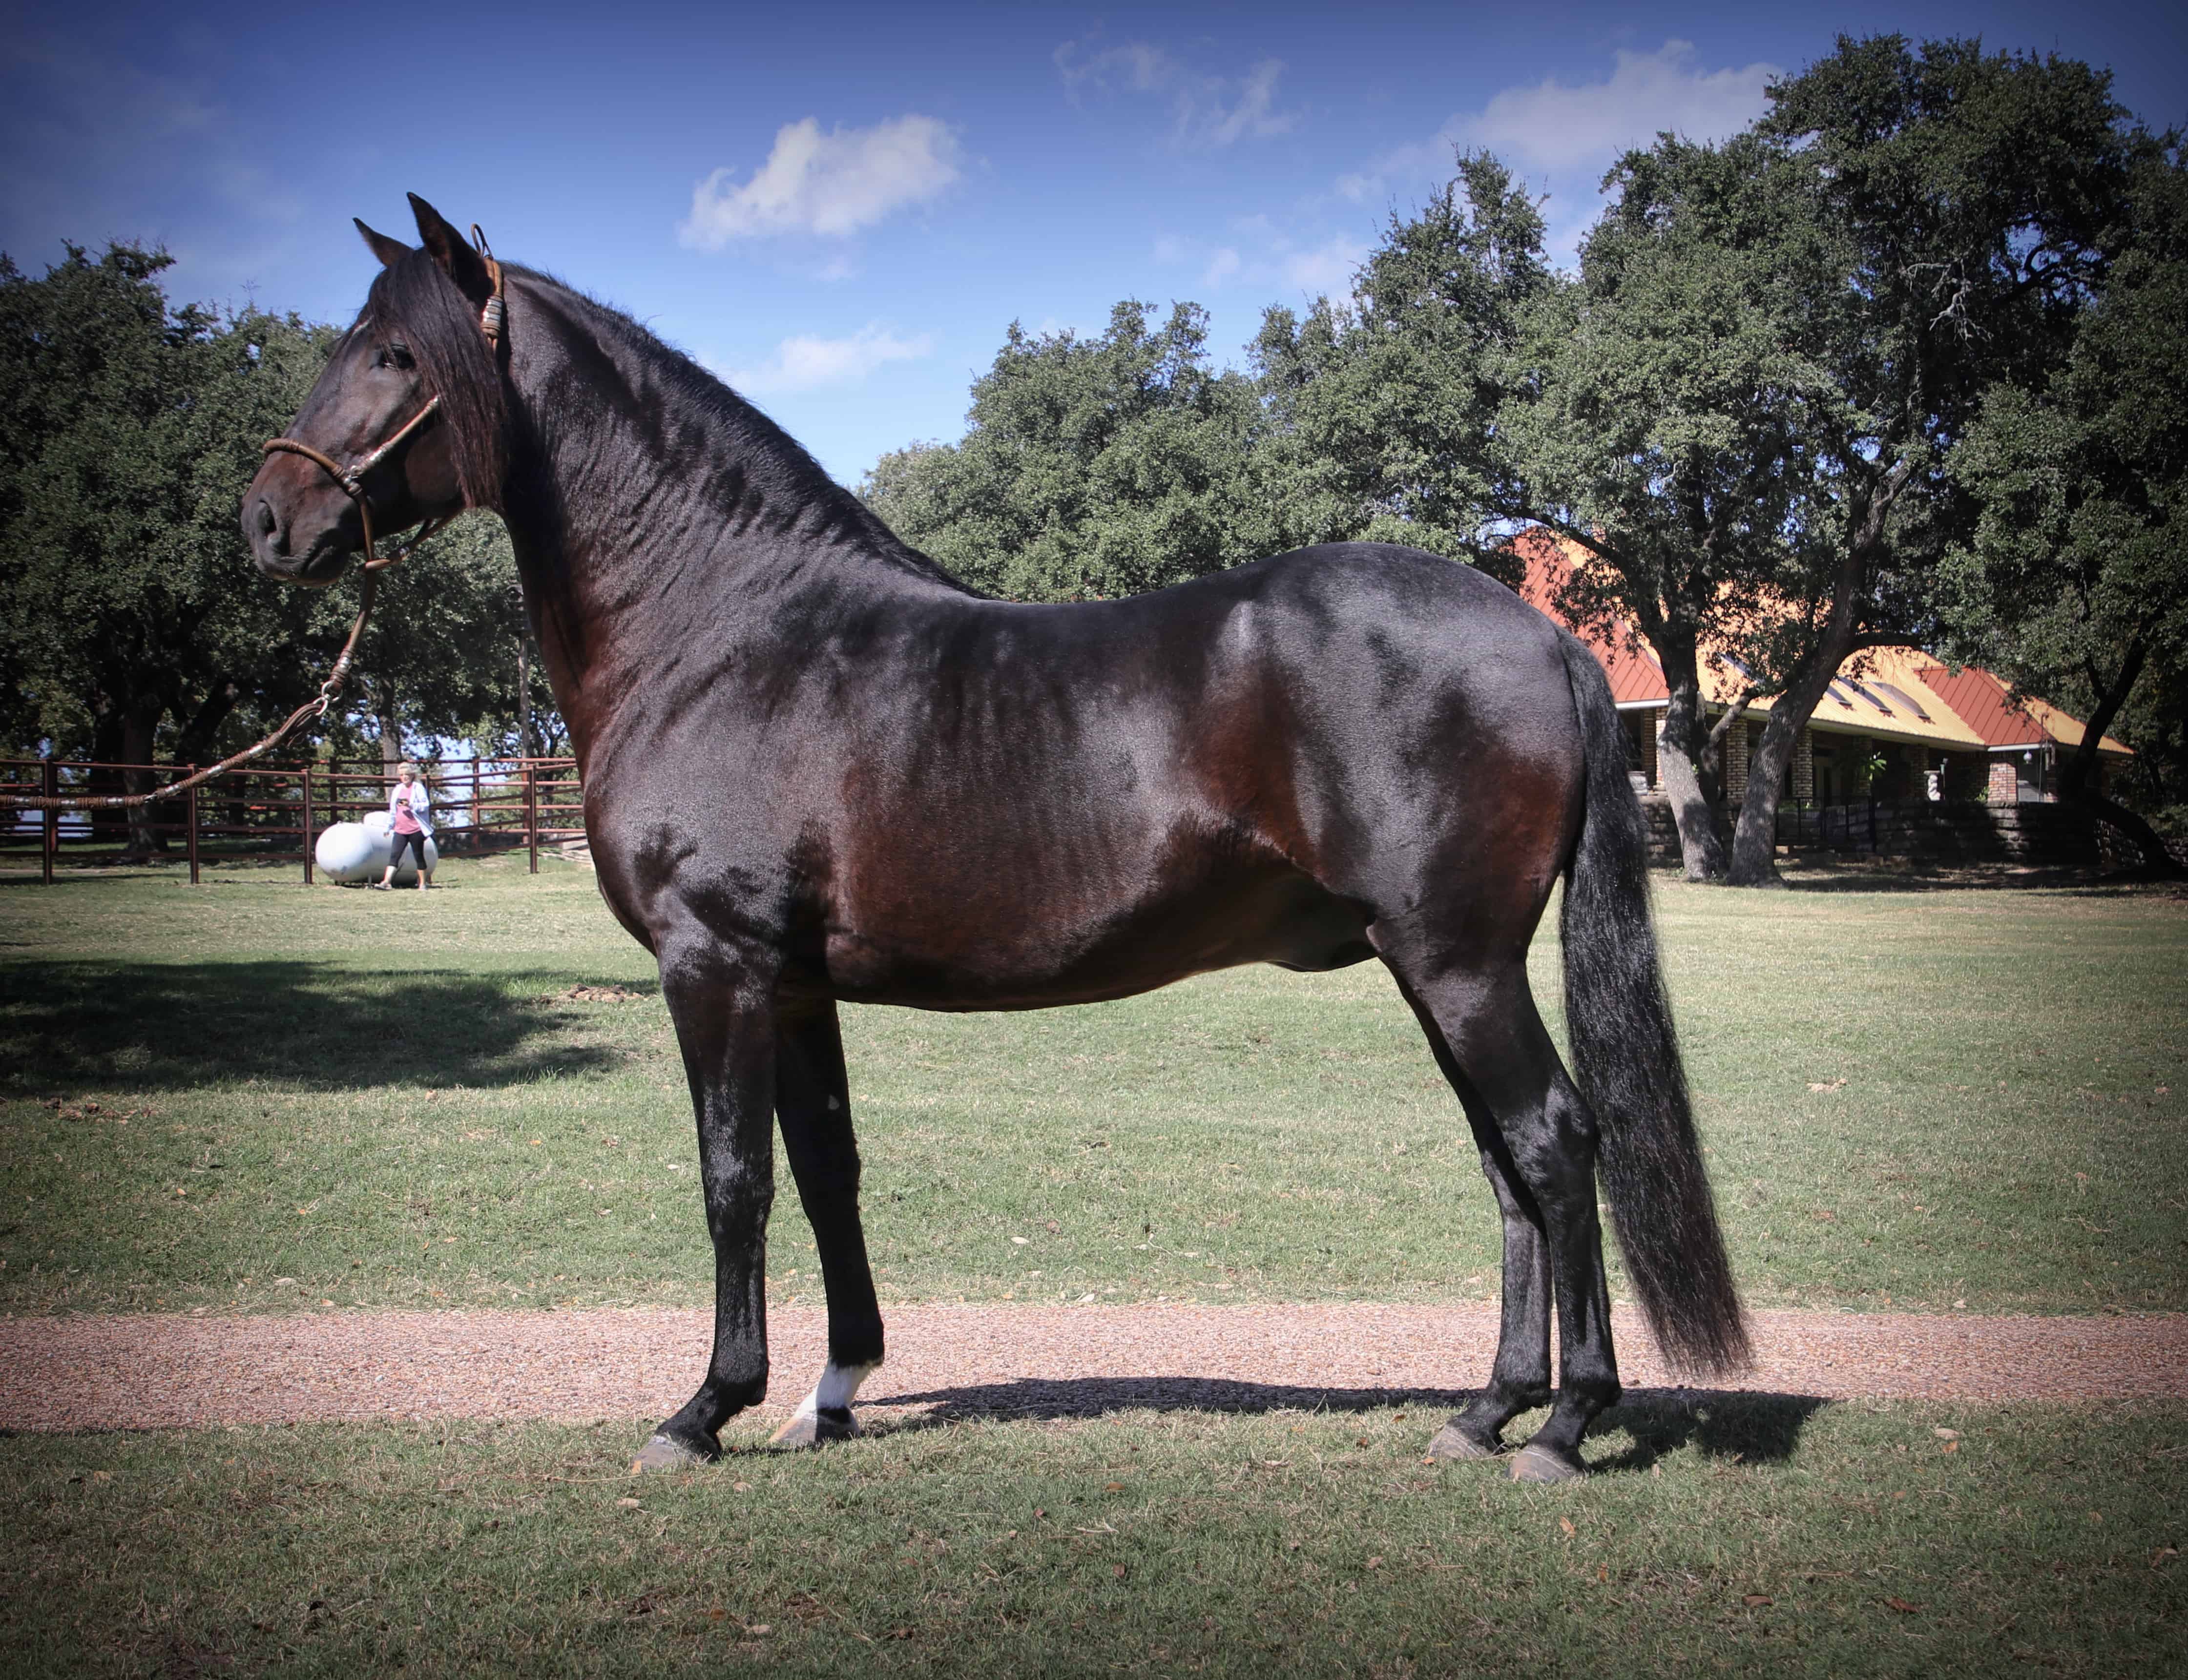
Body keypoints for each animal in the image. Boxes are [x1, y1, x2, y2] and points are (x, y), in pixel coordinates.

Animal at [243, 195, 1747, 1483]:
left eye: (392, 351)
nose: (268, 515)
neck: (721, 628)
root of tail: (1539, 634)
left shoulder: (712, 966)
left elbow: (734, 1181)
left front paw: (703, 1408)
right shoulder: (794, 985)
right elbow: (827, 1172)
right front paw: (831, 1392)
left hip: (1459, 962)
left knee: (1555, 1143)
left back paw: (1564, 1425)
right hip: (1432, 967)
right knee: (1509, 1167)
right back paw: (1488, 1411)